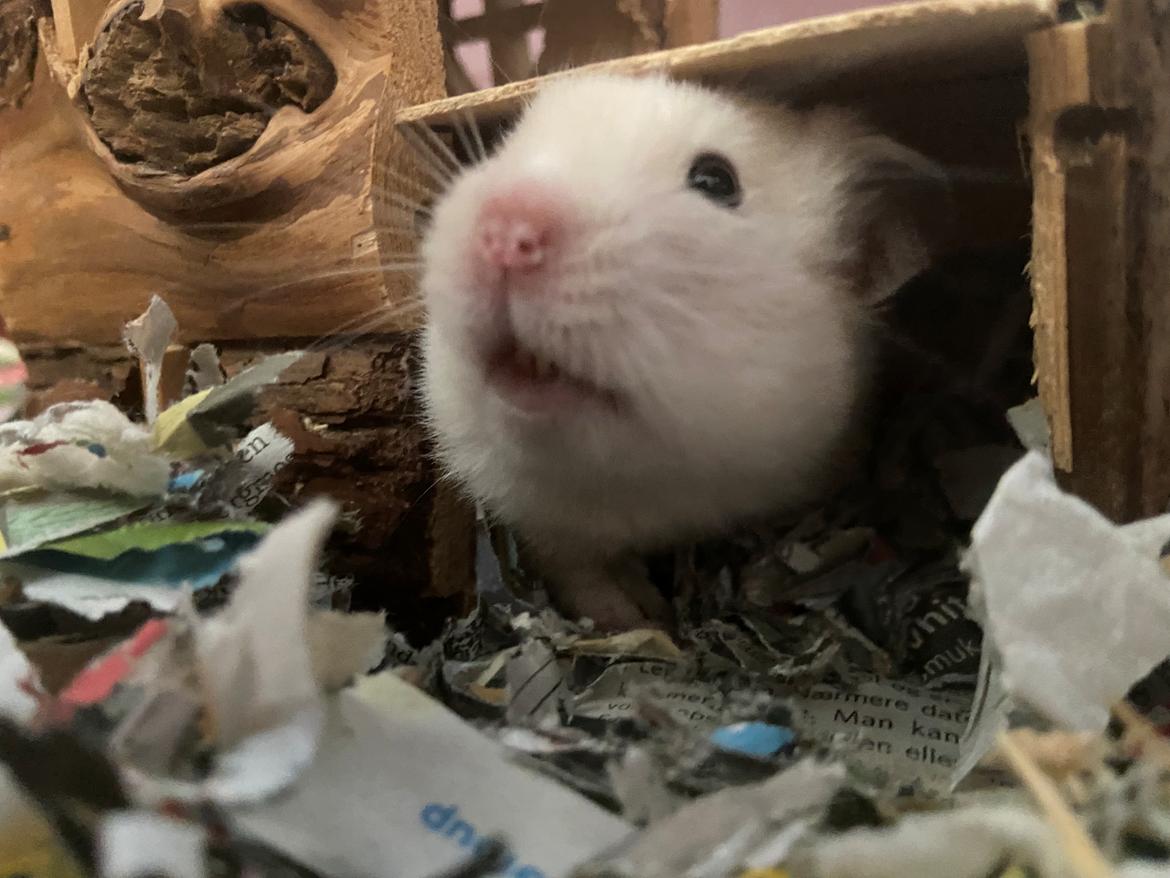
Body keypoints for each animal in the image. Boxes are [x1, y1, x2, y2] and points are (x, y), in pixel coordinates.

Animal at [418, 72, 948, 630]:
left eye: (716, 181)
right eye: (511, 140)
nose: (503, 233)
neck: (649, 490)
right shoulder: (548, 530)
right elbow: (584, 578)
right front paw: (638, 619)